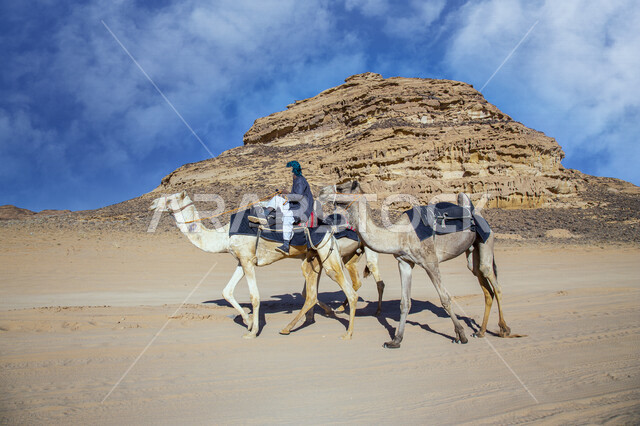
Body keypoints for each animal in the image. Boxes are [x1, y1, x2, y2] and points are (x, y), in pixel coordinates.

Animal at [149, 191, 358, 339]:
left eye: (169, 199)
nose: (152, 203)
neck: (224, 236)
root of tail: (330, 228)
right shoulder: (242, 260)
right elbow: (226, 291)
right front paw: (248, 320)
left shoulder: (248, 261)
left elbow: (254, 296)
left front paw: (252, 331)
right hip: (313, 257)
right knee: (311, 294)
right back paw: (289, 327)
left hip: (326, 252)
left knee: (346, 288)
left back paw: (347, 333)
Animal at [318, 181, 511, 348]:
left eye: (341, 187)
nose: (321, 191)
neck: (398, 236)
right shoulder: (404, 262)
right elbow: (405, 302)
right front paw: (395, 340)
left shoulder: (430, 261)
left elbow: (445, 299)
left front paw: (460, 335)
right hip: (472, 251)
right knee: (484, 285)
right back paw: (481, 332)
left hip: (487, 239)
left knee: (494, 282)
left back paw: (504, 329)